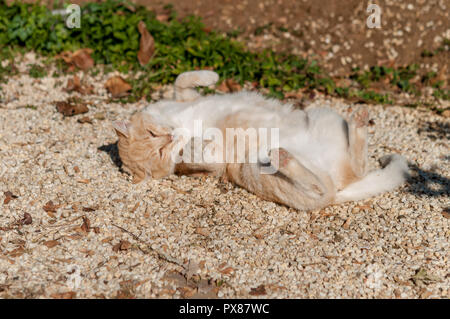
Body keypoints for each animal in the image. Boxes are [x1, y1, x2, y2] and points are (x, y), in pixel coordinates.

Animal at [111, 71, 408, 212]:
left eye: (154, 136)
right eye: (161, 152)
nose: (172, 137)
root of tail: (342, 186)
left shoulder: (184, 97)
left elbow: (182, 79)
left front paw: (211, 76)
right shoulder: (216, 164)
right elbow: (198, 157)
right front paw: (192, 146)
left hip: (323, 116)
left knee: (358, 166)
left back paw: (358, 122)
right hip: (261, 170)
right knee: (321, 188)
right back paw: (284, 158)